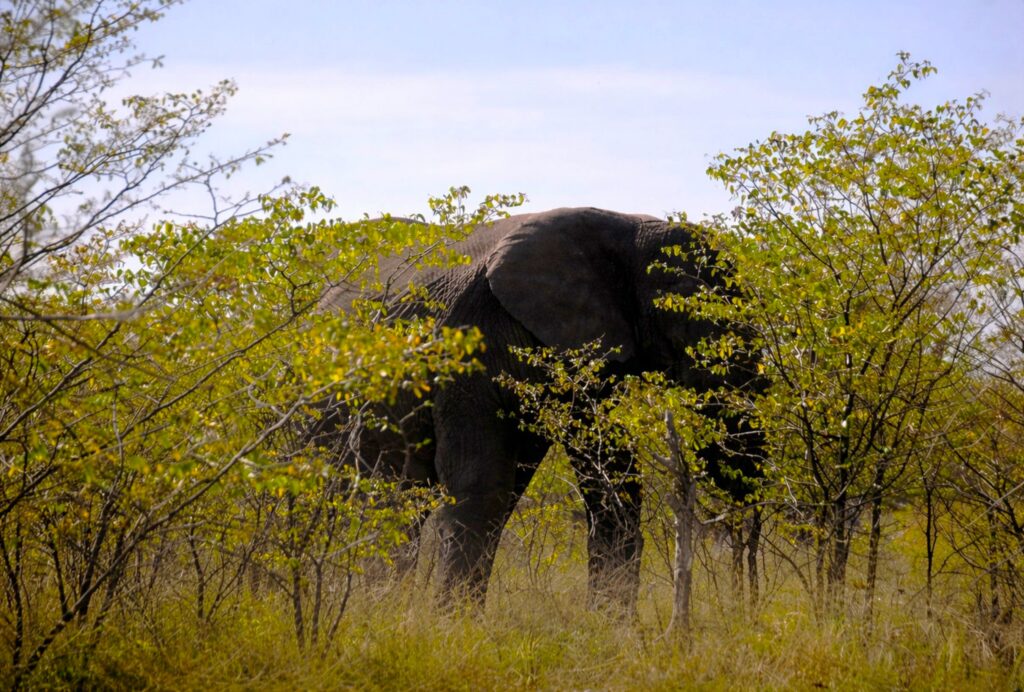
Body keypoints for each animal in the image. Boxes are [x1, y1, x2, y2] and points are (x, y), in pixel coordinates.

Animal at [317, 207, 762, 608]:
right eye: (689, 301)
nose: (746, 599)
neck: (626, 227)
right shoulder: (468, 340)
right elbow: (481, 484)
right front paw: (453, 629)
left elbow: (612, 485)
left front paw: (611, 631)